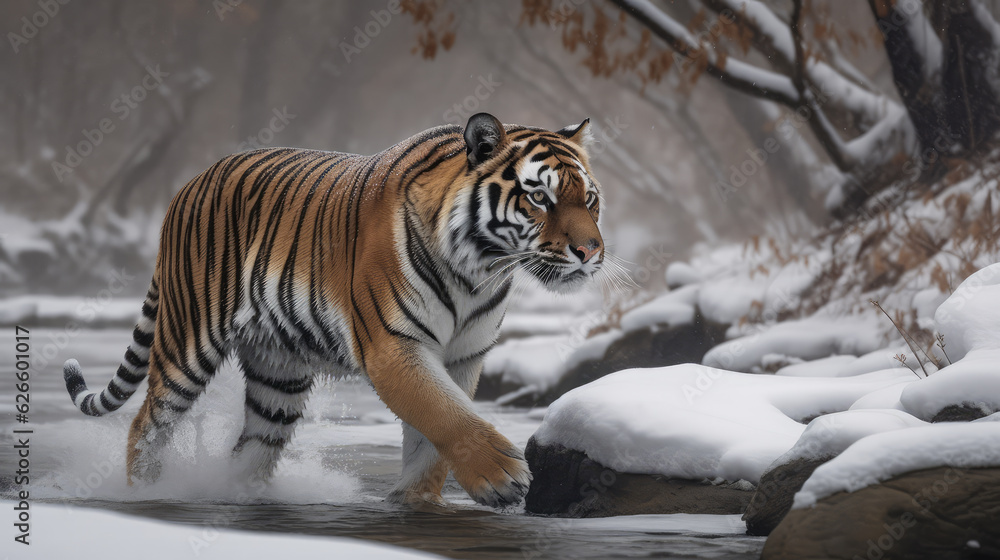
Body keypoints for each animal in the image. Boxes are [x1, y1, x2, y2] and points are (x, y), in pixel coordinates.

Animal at [63, 112, 605, 508]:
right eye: (540, 198)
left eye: (590, 200)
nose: (591, 251)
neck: (481, 269)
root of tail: (187, 185)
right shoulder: (394, 347)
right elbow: (445, 414)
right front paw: (503, 478)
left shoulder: (463, 355)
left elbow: (434, 437)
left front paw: (416, 503)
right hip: (187, 341)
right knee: (147, 424)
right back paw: (147, 495)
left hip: (278, 377)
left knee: (252, 445)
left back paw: (238, 496)